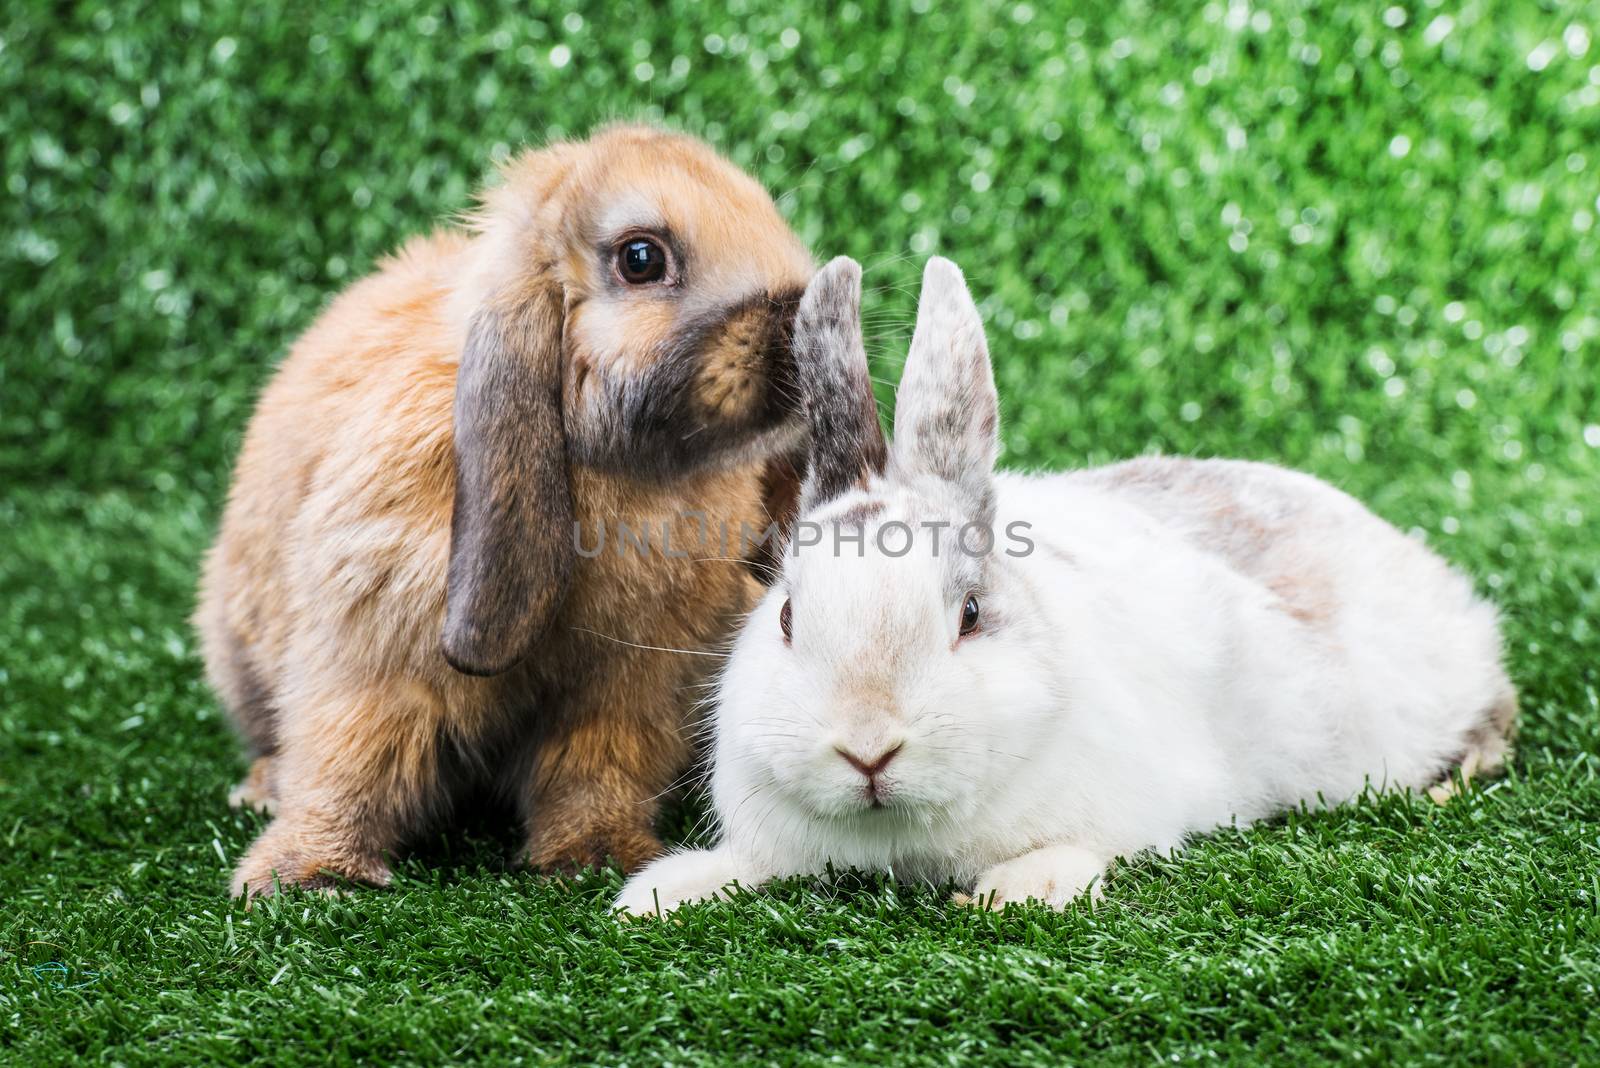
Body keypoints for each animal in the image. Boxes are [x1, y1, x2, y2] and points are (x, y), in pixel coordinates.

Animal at [196, 125, 812, 895]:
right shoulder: (374, 656)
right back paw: (260, 789)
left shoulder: (623, 690)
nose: (803, 327)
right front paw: (306, 877)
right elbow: (349, 761)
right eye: (641, 258)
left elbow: (593, 771)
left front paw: (597, 857)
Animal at [608, 254, 1510, 914]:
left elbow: (1082, 849)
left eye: (971, 613)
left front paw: (1014, 891)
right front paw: (660, 895)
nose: (868, 747)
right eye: (789, 617)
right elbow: (747, 863)